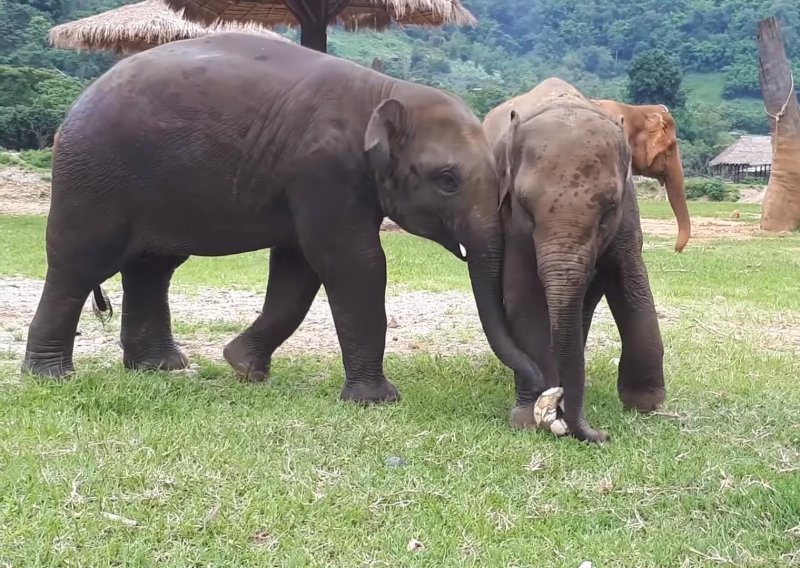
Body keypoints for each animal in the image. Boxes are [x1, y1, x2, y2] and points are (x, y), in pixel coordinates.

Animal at [21, 33, 548, 404]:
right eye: (447, 179)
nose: (544, 388)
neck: (385, 90)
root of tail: (74, 108)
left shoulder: (307, 182)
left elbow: (299, 268)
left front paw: (242, 367)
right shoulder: (323, 170)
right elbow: (354, 262)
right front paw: (377, 401)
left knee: (153, 267)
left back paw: (163, 367)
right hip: (92, 177)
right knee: (80, 262)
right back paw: (51, 375)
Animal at [484, 79, 664, 444]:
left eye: (609, 209)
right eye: (525, 205)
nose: (602, 434)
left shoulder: (628, 212)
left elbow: (631, 281)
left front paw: (647, 405)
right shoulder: (510, 221)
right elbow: (524, 294)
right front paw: (529, 417)